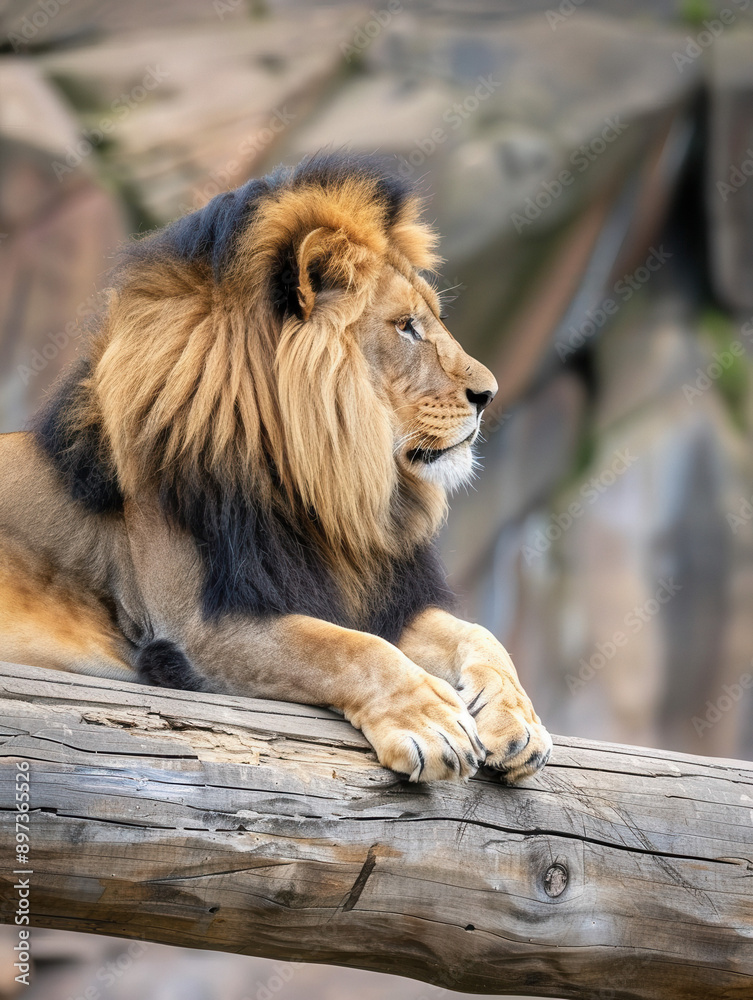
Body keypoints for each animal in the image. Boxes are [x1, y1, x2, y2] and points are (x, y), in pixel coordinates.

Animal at [0, 153, 551, 783]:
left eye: (429, 319)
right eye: (406, 326)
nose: (489, 394)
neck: (316, 491)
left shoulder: (367, 594)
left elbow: (479, 635)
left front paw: (519, 718)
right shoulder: (198, 631)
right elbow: (347, 648)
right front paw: (431, 722)